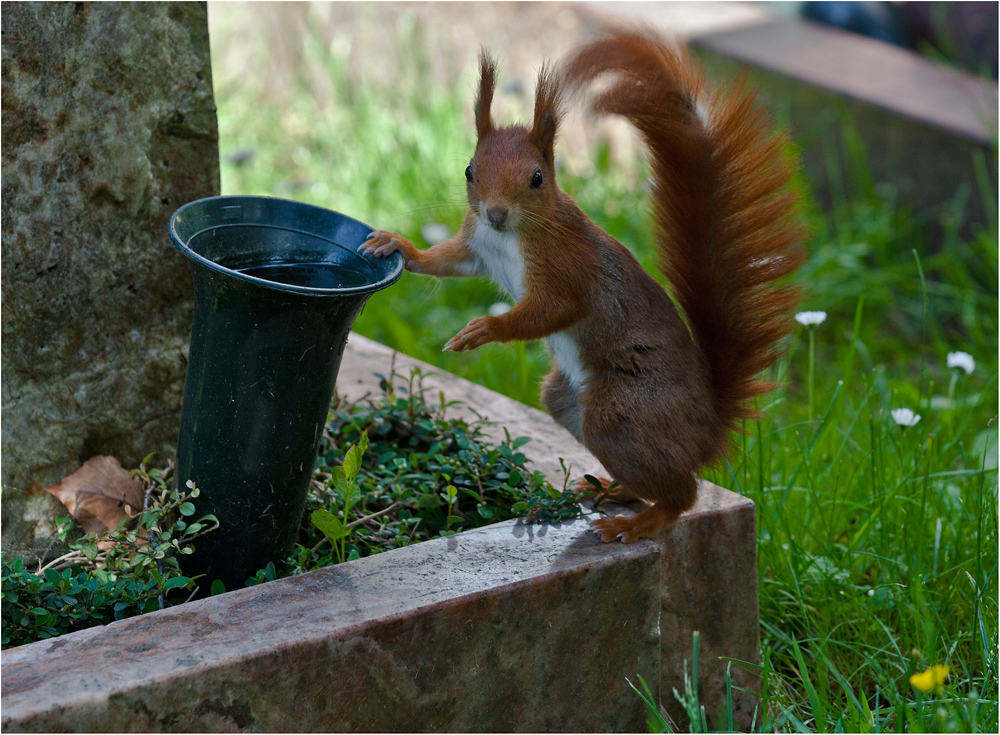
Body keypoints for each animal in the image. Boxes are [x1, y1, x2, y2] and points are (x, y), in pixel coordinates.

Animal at [362, 31, 804, 544]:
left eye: (536, 177)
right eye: (470, 171)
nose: (495, 212)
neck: (510, 235)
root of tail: (708, 425)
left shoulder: (568, 269)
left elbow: (552, 310)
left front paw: (485, 329)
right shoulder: (476, 248)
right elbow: (447, 262)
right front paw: (399, 245)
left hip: (622, 415)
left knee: (684, 493)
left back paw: (640, 522)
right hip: (567, 400)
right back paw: (616, 490)